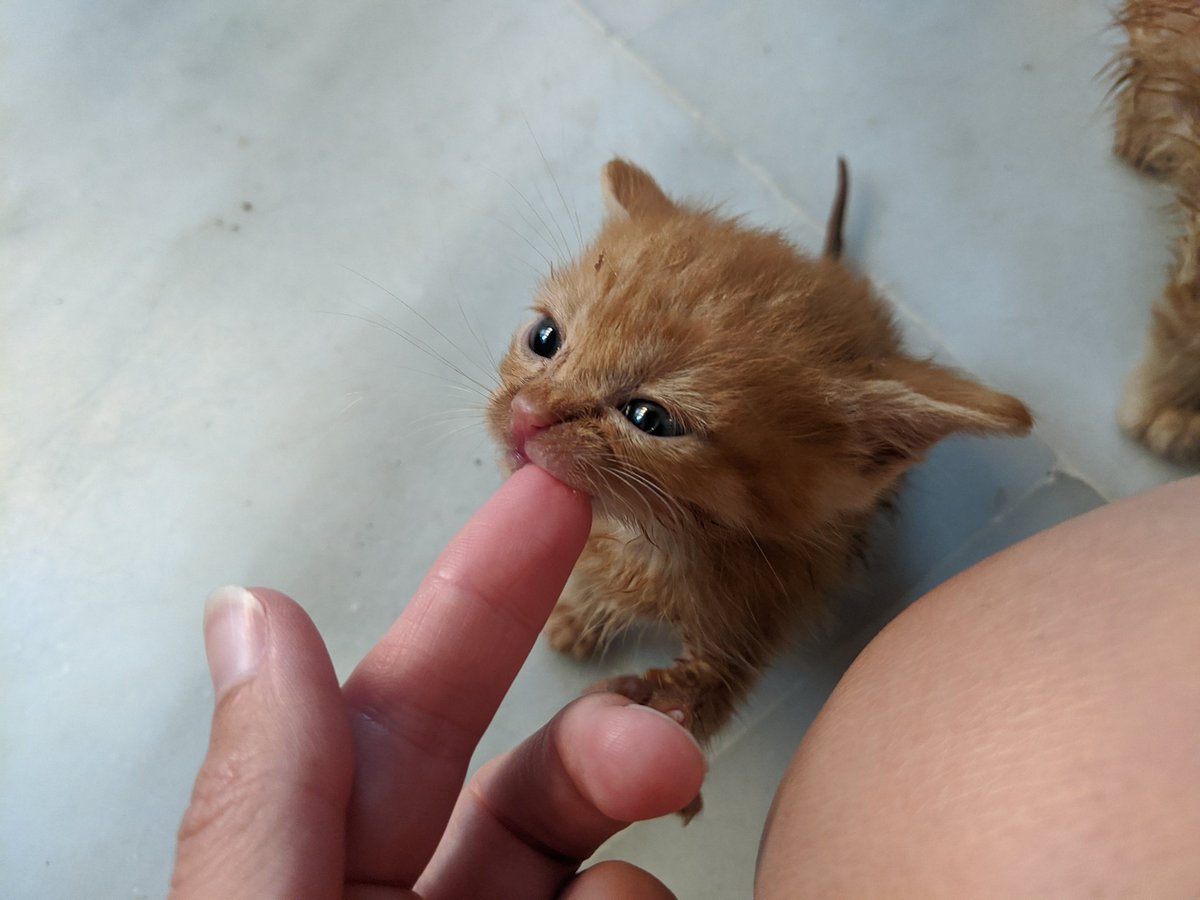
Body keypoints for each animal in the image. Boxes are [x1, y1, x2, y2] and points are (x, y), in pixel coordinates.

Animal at [487, 160, 1032, 753]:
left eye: (650, 419)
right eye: (545, 338)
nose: (526, 413)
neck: (653, 541)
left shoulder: (764, 608)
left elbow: (714, 686)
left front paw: (662, 703)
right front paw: (584, 615)